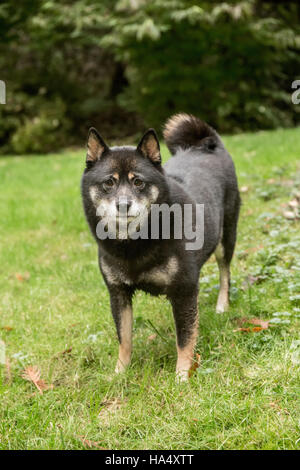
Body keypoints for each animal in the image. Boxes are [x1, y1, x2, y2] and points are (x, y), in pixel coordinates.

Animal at [81, 114, 240, 382]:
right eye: (109, 182)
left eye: (138, 182)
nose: (123, 205)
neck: (136, 242)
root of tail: (206, 145)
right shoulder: (118, 293)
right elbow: (124, 339)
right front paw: (120, 372)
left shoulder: (184, 290)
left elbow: (185, 339)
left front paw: (182, 377)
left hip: (225, 238)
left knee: (225, 274)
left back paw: (222, 306)